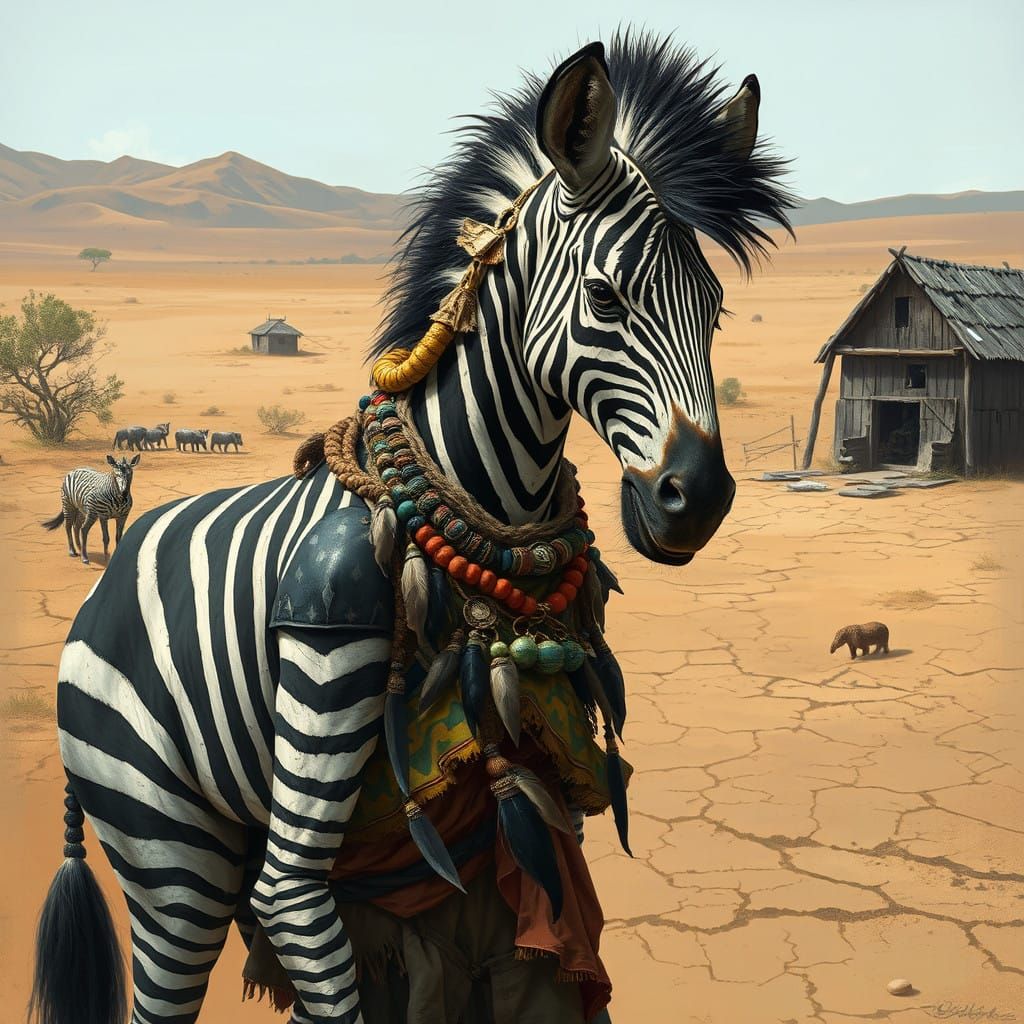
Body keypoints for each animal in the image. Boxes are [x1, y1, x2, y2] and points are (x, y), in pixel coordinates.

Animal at [31, 35, 792, 1024]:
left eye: (714, 308)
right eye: (604, 297)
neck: (487, 496)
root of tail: (104, 589)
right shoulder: (331, 611)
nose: (695, 498)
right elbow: (298, 905)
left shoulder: (527, 882)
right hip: (169, 855)